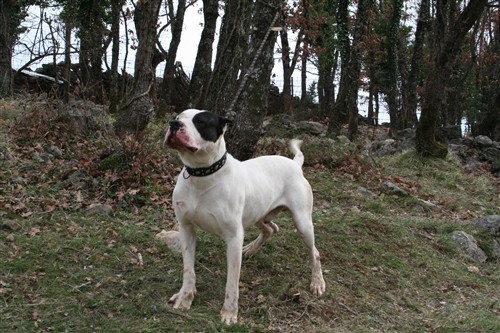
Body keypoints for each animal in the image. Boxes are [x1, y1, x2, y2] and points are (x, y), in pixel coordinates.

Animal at [166, 109, 326, 324]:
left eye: (201, 121)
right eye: (178, 117)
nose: (174, 124)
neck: (201, 175)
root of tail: (295, 164)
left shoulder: (233, 237)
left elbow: (232, 282)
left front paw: (229, 312)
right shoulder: (186, 229)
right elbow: (188, 270)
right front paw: (185, 297)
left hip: (302, 223)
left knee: (314, 253)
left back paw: (317, 283)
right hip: (259, 213)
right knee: (271, 229)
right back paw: (250, 249)